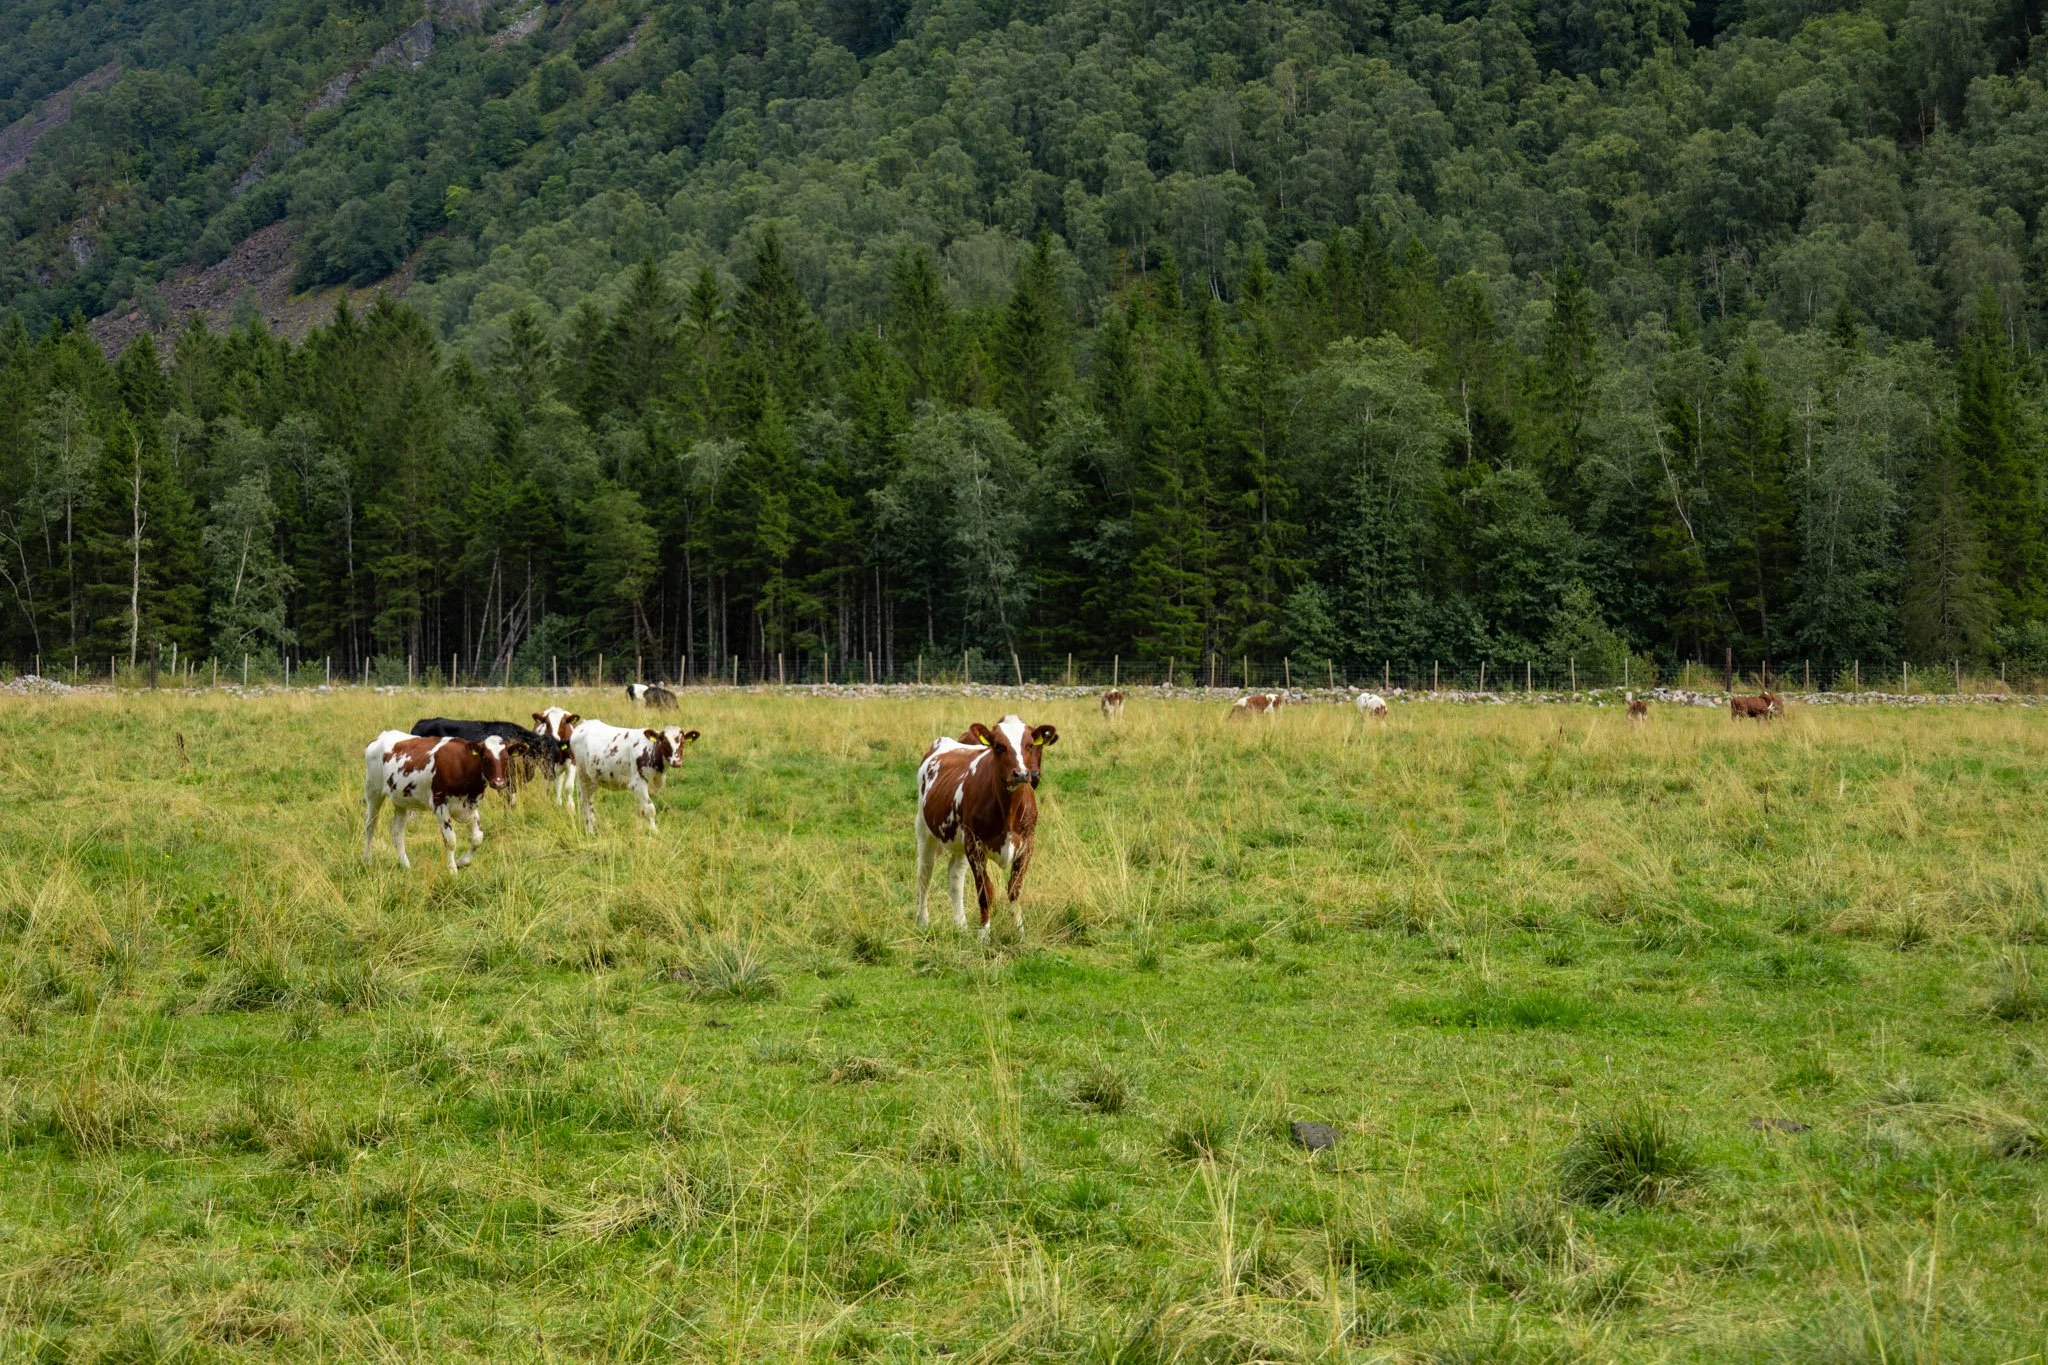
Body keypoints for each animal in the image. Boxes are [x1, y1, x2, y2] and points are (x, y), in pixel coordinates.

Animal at [363, 731, 510, 873]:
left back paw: (405, 865)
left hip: (401, 800)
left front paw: (462, 862)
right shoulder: (440, 804)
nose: (499, 782)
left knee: (397, 831)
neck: (463, 765)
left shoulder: (469, 807)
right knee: (370, 824)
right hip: (373, 791)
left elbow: (478, 837)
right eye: (485, 758)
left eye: (506, 759)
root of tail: (382, 736)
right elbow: (450, 840)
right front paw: (452, 871)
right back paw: (368, 860)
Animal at [570, 720, 700, 833]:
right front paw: (655, 831)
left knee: (590, 800)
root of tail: (584, 724)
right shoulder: (638, 783)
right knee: (584, 801)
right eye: (664, 742)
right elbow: (650, 809)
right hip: (582, 775)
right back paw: (590, 830)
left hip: (594, 778)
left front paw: (640, 830)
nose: (677, 762)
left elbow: (641, 810)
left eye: (683, 743)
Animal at [915, 716, 1058, 939]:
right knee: (924, 874)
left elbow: (1014, 889)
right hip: (924, 830)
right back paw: (923, 921)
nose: (1022, 774)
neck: (1008, 810)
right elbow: (985, 891)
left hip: (960, 842)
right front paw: (984, 935)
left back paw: (961, 925)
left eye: (1029, 745)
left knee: (955, 876)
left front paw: (1019, 932)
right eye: (998, 746)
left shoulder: (1027, 844)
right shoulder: (975, 844)